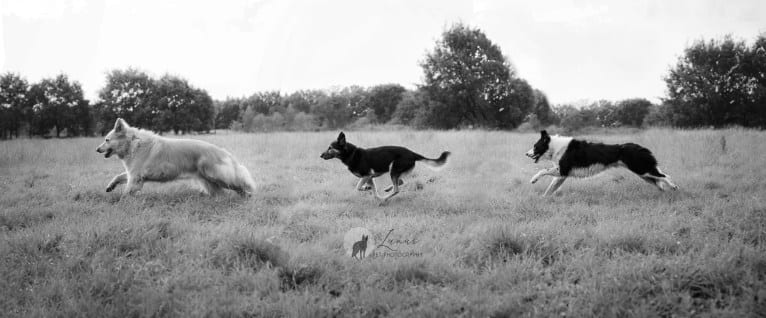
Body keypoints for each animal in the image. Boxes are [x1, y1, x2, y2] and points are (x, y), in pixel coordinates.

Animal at [97, 118, 255, 198]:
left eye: (107, 140)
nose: (97, 149)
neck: (133, 144)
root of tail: (223, 152)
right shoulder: (132, 174)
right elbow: (118, 177)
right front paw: (110, 187)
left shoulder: (135, 178)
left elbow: (126, 192)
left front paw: (121, 201)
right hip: (209, 181)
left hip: (218, 177)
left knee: (239, 185)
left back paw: (247, 195)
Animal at [322, 132, 452, 202]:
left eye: (330, 148)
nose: (320, 155)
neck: (351, 154)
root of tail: (412, 153)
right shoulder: (369, 177)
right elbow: (374, 192)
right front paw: (372, 193)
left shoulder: (366, 176)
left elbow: (358, 187)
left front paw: (368, 190)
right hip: (396, 171)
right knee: (400, 182)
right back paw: (387, 190)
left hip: (393, 169)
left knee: (397, 189)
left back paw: (386, 198)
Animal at [528, 130, 680, 195]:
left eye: (535, 146)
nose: (526, 154)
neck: (554, 146)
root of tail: (640, 147)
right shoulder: (561, 175)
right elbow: (550, 189)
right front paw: (544, 199)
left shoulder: (563, 170)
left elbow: (542, 171)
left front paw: (533, 179)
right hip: (643, 173)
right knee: (659, 180)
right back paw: (663, 191)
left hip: (642, 169)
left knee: (665, 176)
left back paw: (674, 187)